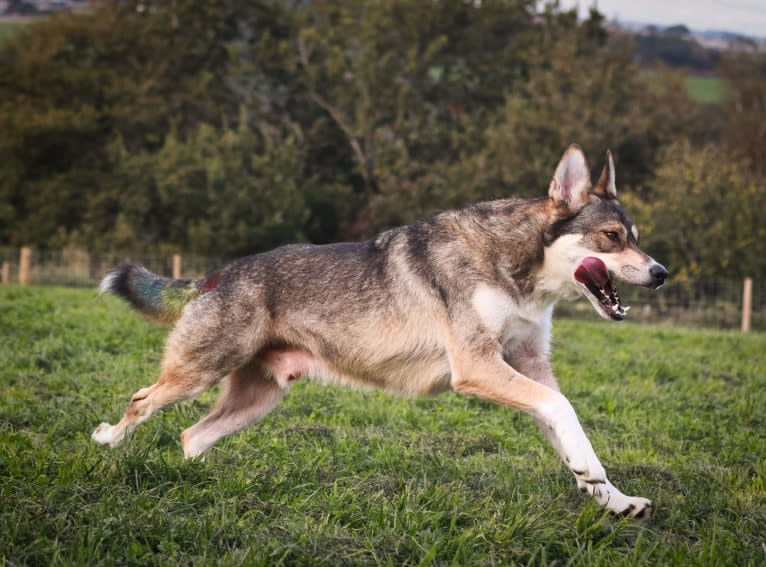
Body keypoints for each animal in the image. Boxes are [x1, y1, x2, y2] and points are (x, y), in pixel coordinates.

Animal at [96, 145, 668, 520]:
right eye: (611, 237)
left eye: (637, 238)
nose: (661, 273)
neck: (518, 270)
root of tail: (218, 273)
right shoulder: (478, 367)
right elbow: (565, 411)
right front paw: (597, 485)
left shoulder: (530, 367)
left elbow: (574, 435)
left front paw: (613, 499)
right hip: (197, 375)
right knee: (142, 401)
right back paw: (107, 444)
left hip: (256, 400)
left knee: (192, 436)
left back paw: (200, 483)